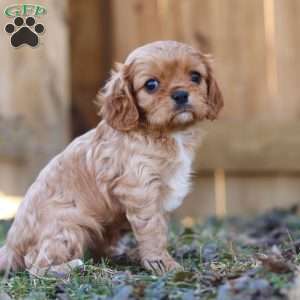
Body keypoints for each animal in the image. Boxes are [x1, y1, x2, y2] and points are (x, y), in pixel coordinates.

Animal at [0, 41, 221, 276]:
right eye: (151, 84)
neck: (166, 133)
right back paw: (73, 266)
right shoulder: (139, 189)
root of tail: (11, 245)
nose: (180, 94)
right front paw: (163, 264)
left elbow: (160, 227)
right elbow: (152, 230)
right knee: (36, 265)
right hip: (70, 226)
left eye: (195, 76)